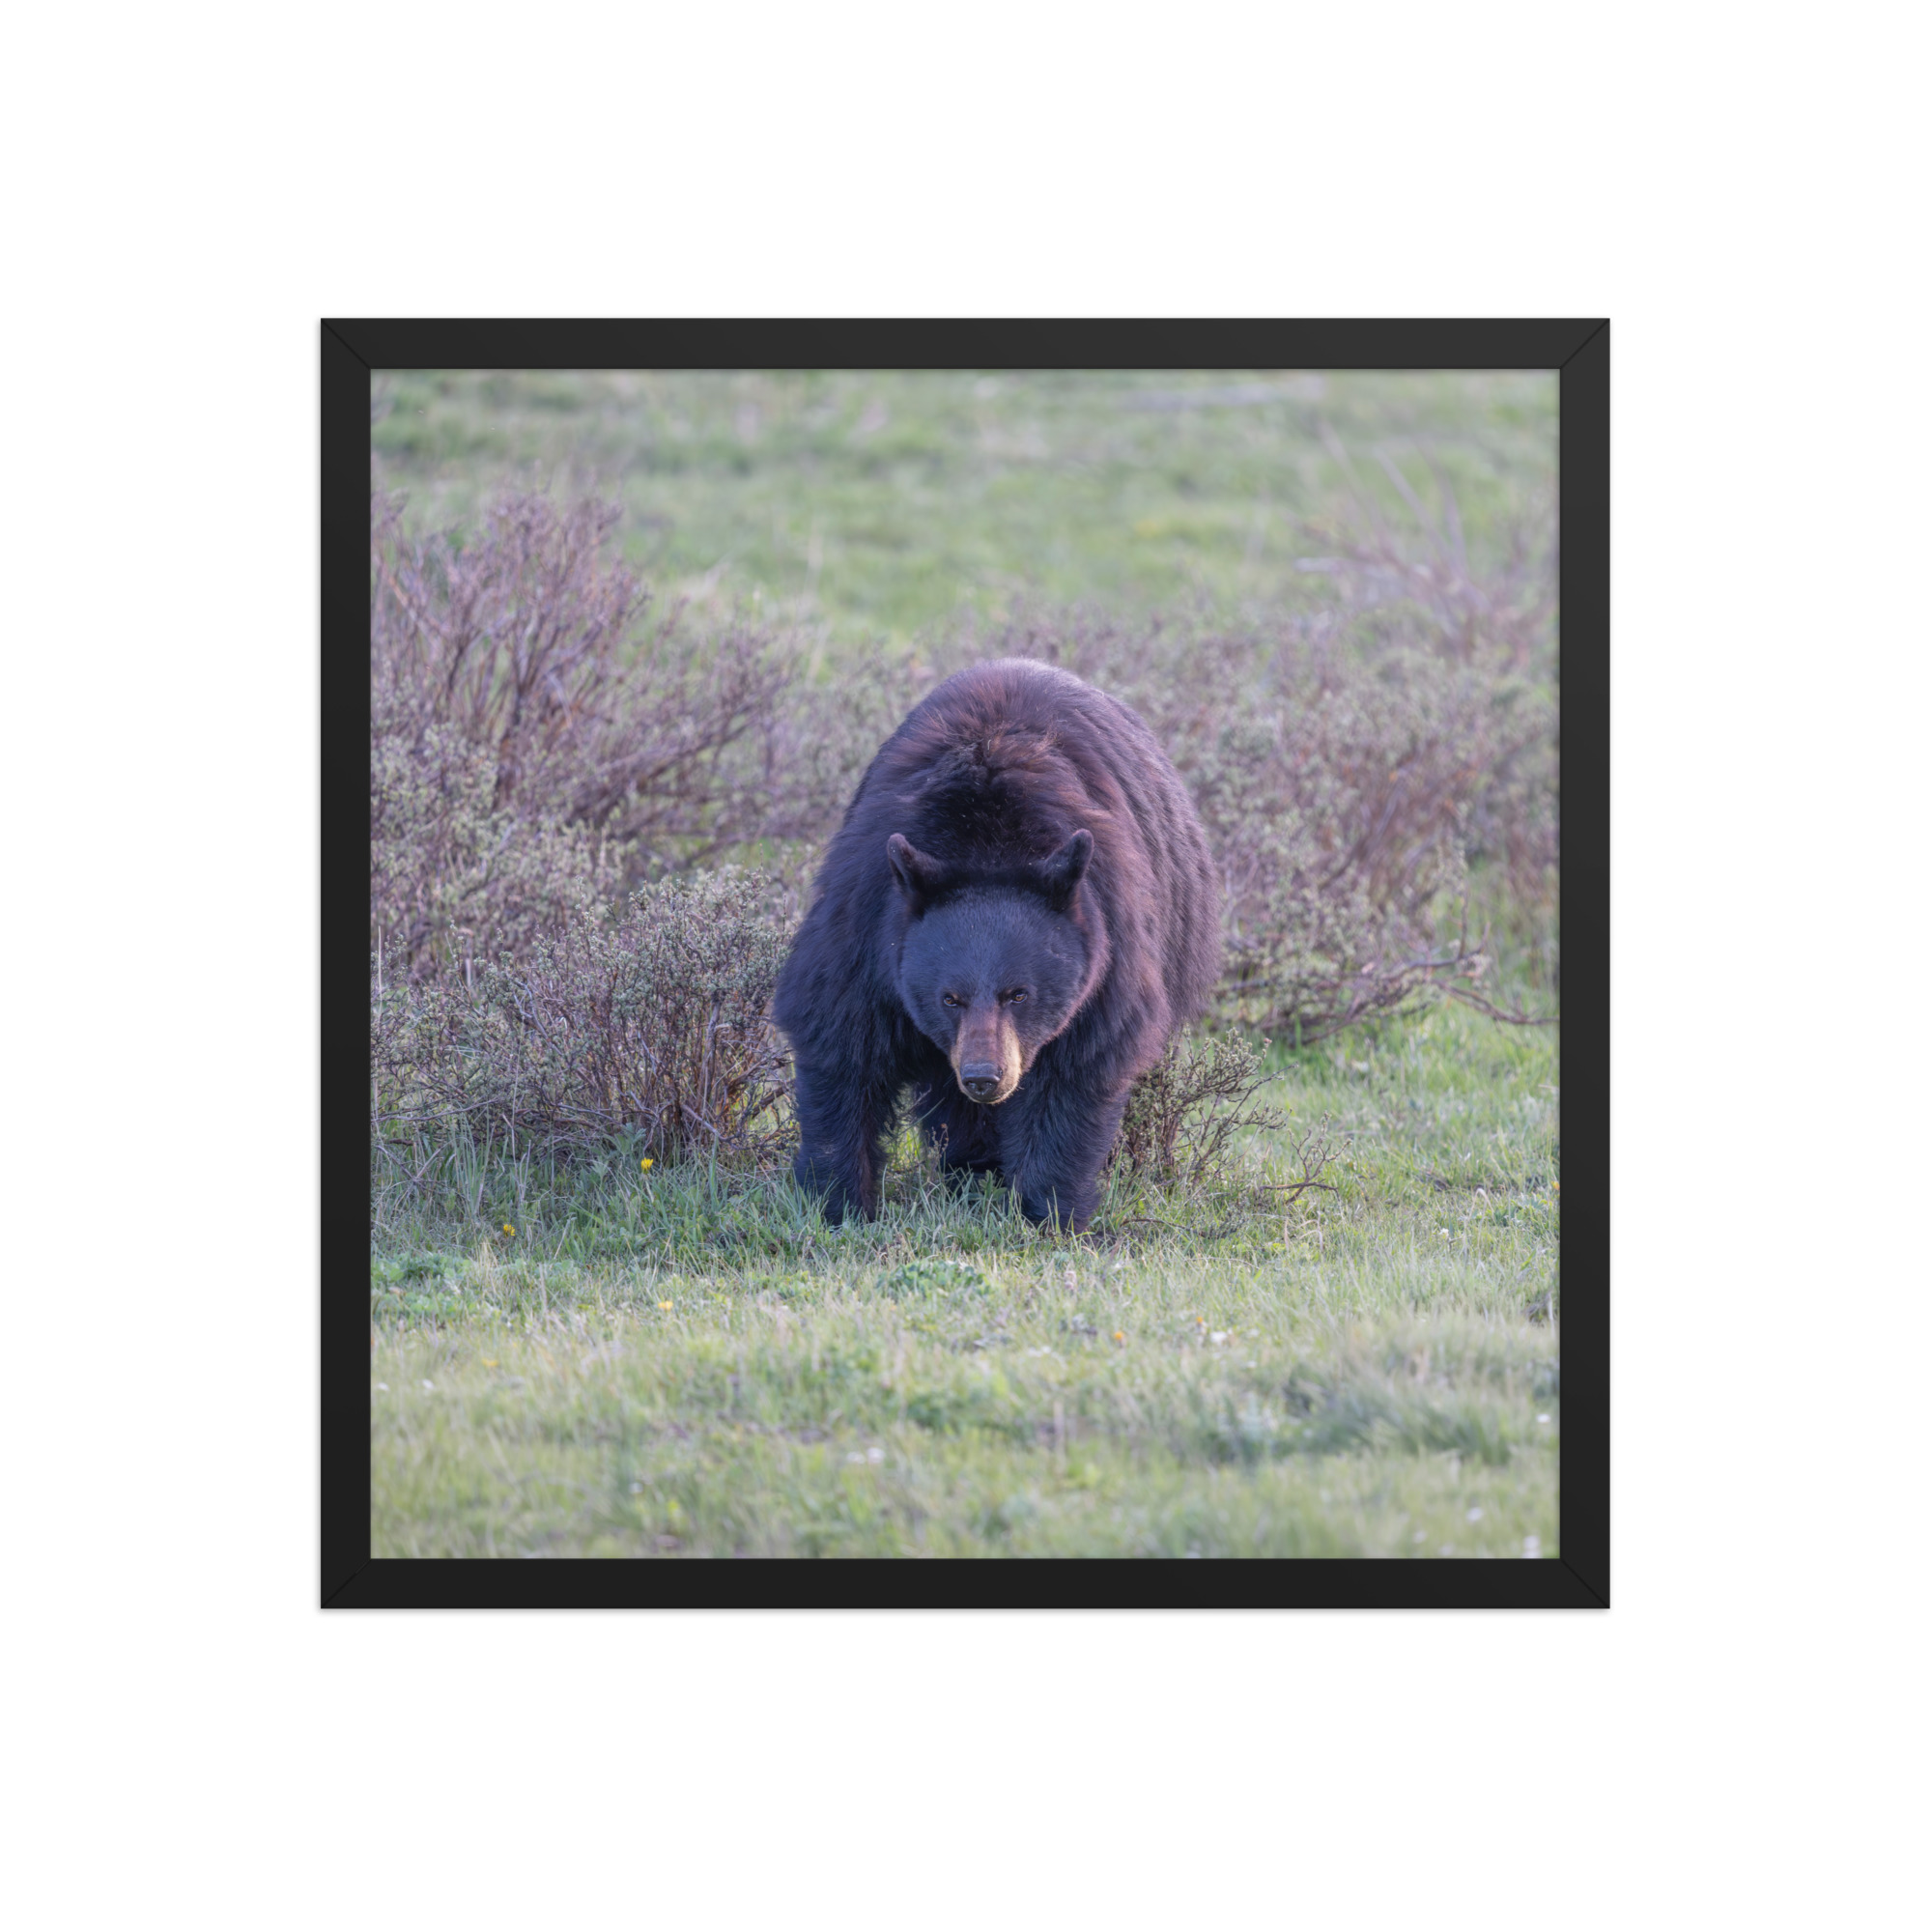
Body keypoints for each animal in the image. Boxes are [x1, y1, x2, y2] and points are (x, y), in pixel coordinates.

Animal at [771, 656, 1221, 1233]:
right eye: (949, 998)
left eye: (1019, 994)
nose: (985, 1078)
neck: (985, 841)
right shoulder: (867, 921)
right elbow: (840, 1041)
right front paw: (839, 1202)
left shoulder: (1109, 943)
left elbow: (1077, 1070)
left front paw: (1051, 1213)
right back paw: (971, 1168)